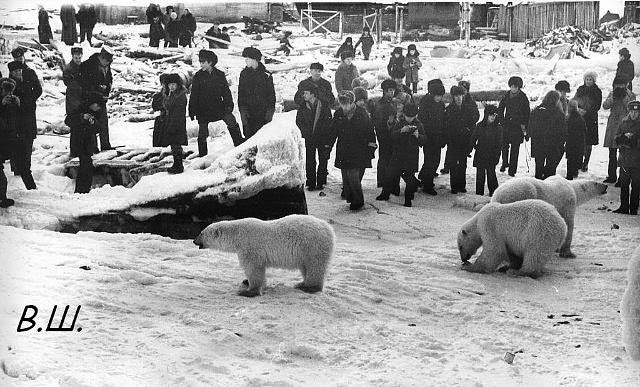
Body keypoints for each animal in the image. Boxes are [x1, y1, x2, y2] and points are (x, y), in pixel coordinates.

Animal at [194, 215, 336, 298]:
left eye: (201, 233)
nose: (194, 241)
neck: (237, 235)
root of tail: (329, 228)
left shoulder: (250, 247)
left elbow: (254, 268)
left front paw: (248, 291)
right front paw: (246, 282)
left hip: (312, 246)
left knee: (315, 266)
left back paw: (309, 287)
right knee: (305, 267)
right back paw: (302, 283)